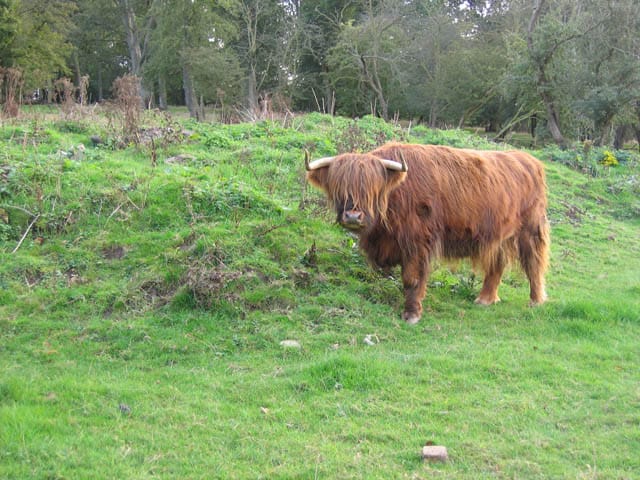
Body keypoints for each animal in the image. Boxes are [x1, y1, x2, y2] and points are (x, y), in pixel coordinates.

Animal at [305, 142, 550, 324]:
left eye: (373, 190)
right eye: (338, 187)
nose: (353, 216)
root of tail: (528, 159)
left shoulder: (418, 241)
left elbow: (412, 278)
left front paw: (412, 313)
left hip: (530, 230)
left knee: (533, 263)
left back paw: (536, 301)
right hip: (498, 234)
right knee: (497, 263)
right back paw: (485, 299)